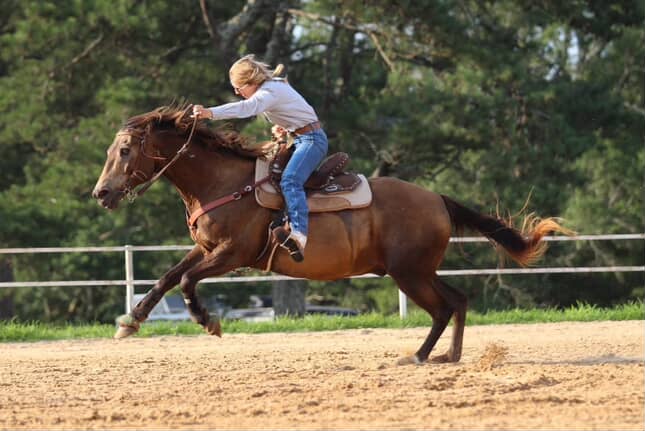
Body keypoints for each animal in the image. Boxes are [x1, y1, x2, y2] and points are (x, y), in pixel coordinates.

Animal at [92, 105, 570, 364]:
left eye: (125, 150)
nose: (101, 193)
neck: (225, 183)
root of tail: (437, 199)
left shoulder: (231, 254)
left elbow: (188, 281)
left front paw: (208, 321)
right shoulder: (204, 248)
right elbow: (168, 278)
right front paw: (130, 322)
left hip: (409, 274)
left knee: (442, 308)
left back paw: (418, 356)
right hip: (419, 271)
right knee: (459, 300)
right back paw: (447, 356)